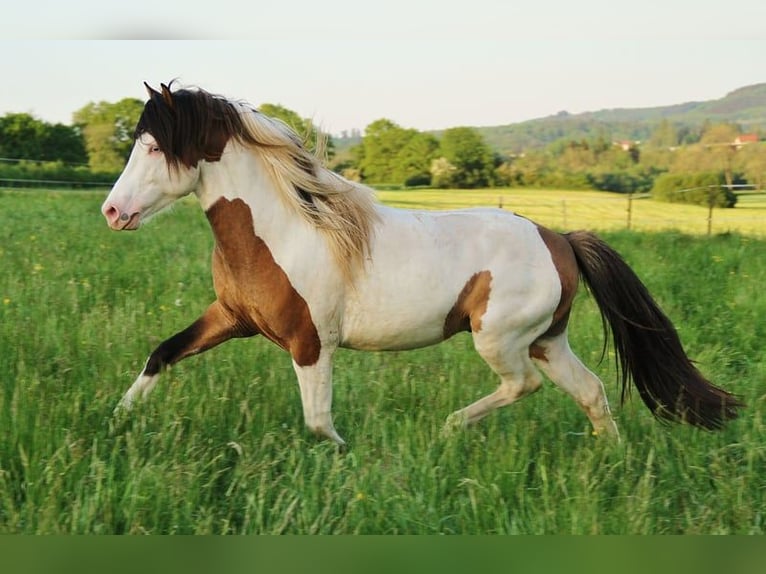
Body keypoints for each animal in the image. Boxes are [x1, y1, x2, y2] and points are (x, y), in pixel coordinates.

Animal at [101, 82, 742, 446]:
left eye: (154, 146)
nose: (112, 211)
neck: (284, 231)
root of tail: (558, 237)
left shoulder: (311, 343)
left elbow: (318, 422)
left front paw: (349, 456)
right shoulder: (231, 317)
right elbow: (162, 353)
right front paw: (117, 419)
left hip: (500, 339)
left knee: (524, 385)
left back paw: (451, 428)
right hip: (547, 339)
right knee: (590, 391)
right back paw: (613, 460)